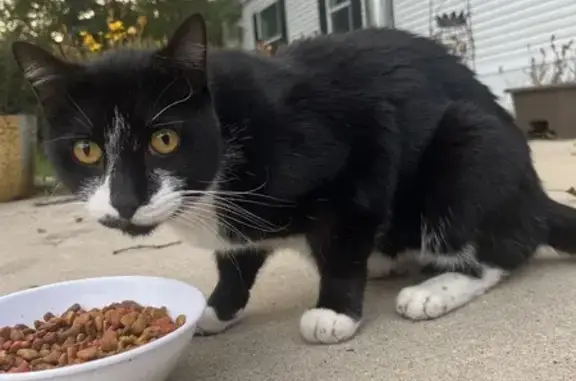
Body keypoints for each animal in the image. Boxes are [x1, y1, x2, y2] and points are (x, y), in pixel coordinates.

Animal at [12, 13, 576, 344]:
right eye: (86, 150)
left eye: (164, 140)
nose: (126, 202)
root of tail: (534, 195)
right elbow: (236, 258)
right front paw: (217, 309)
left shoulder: (360, 143)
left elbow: (347, 232)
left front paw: (335, 312)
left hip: (472, 145)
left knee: (505, 247)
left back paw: (436, 287)